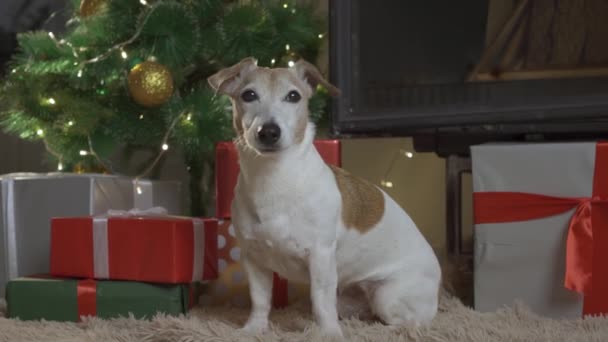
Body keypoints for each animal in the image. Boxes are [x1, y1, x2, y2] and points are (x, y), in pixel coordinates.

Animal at [207, 57, 440, 338]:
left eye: (293, 96)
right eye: (248, 95)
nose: (269, 131)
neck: (274, 180)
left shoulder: (320, 258)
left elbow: (320, 301)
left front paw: (329, 334)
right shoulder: (254, 260)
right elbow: (260, 300)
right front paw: (254, 329)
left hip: (387, 296)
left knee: (411, 323)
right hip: (350, 300)